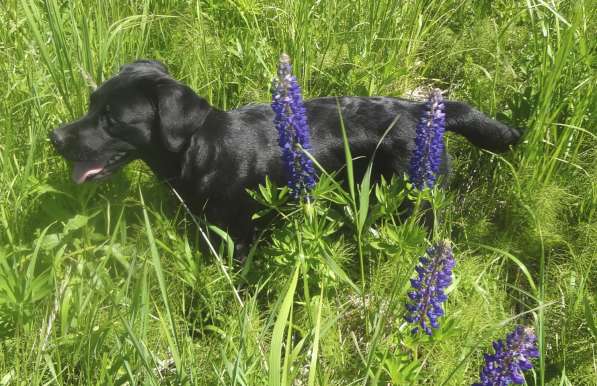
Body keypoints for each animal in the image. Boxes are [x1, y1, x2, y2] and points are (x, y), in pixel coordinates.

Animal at [50, 59, 516, 253]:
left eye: (112, 119)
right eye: (91, 104)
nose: (54, 137)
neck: (204, 150)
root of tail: (424, 111)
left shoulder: (238, 236)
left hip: (416, 203)